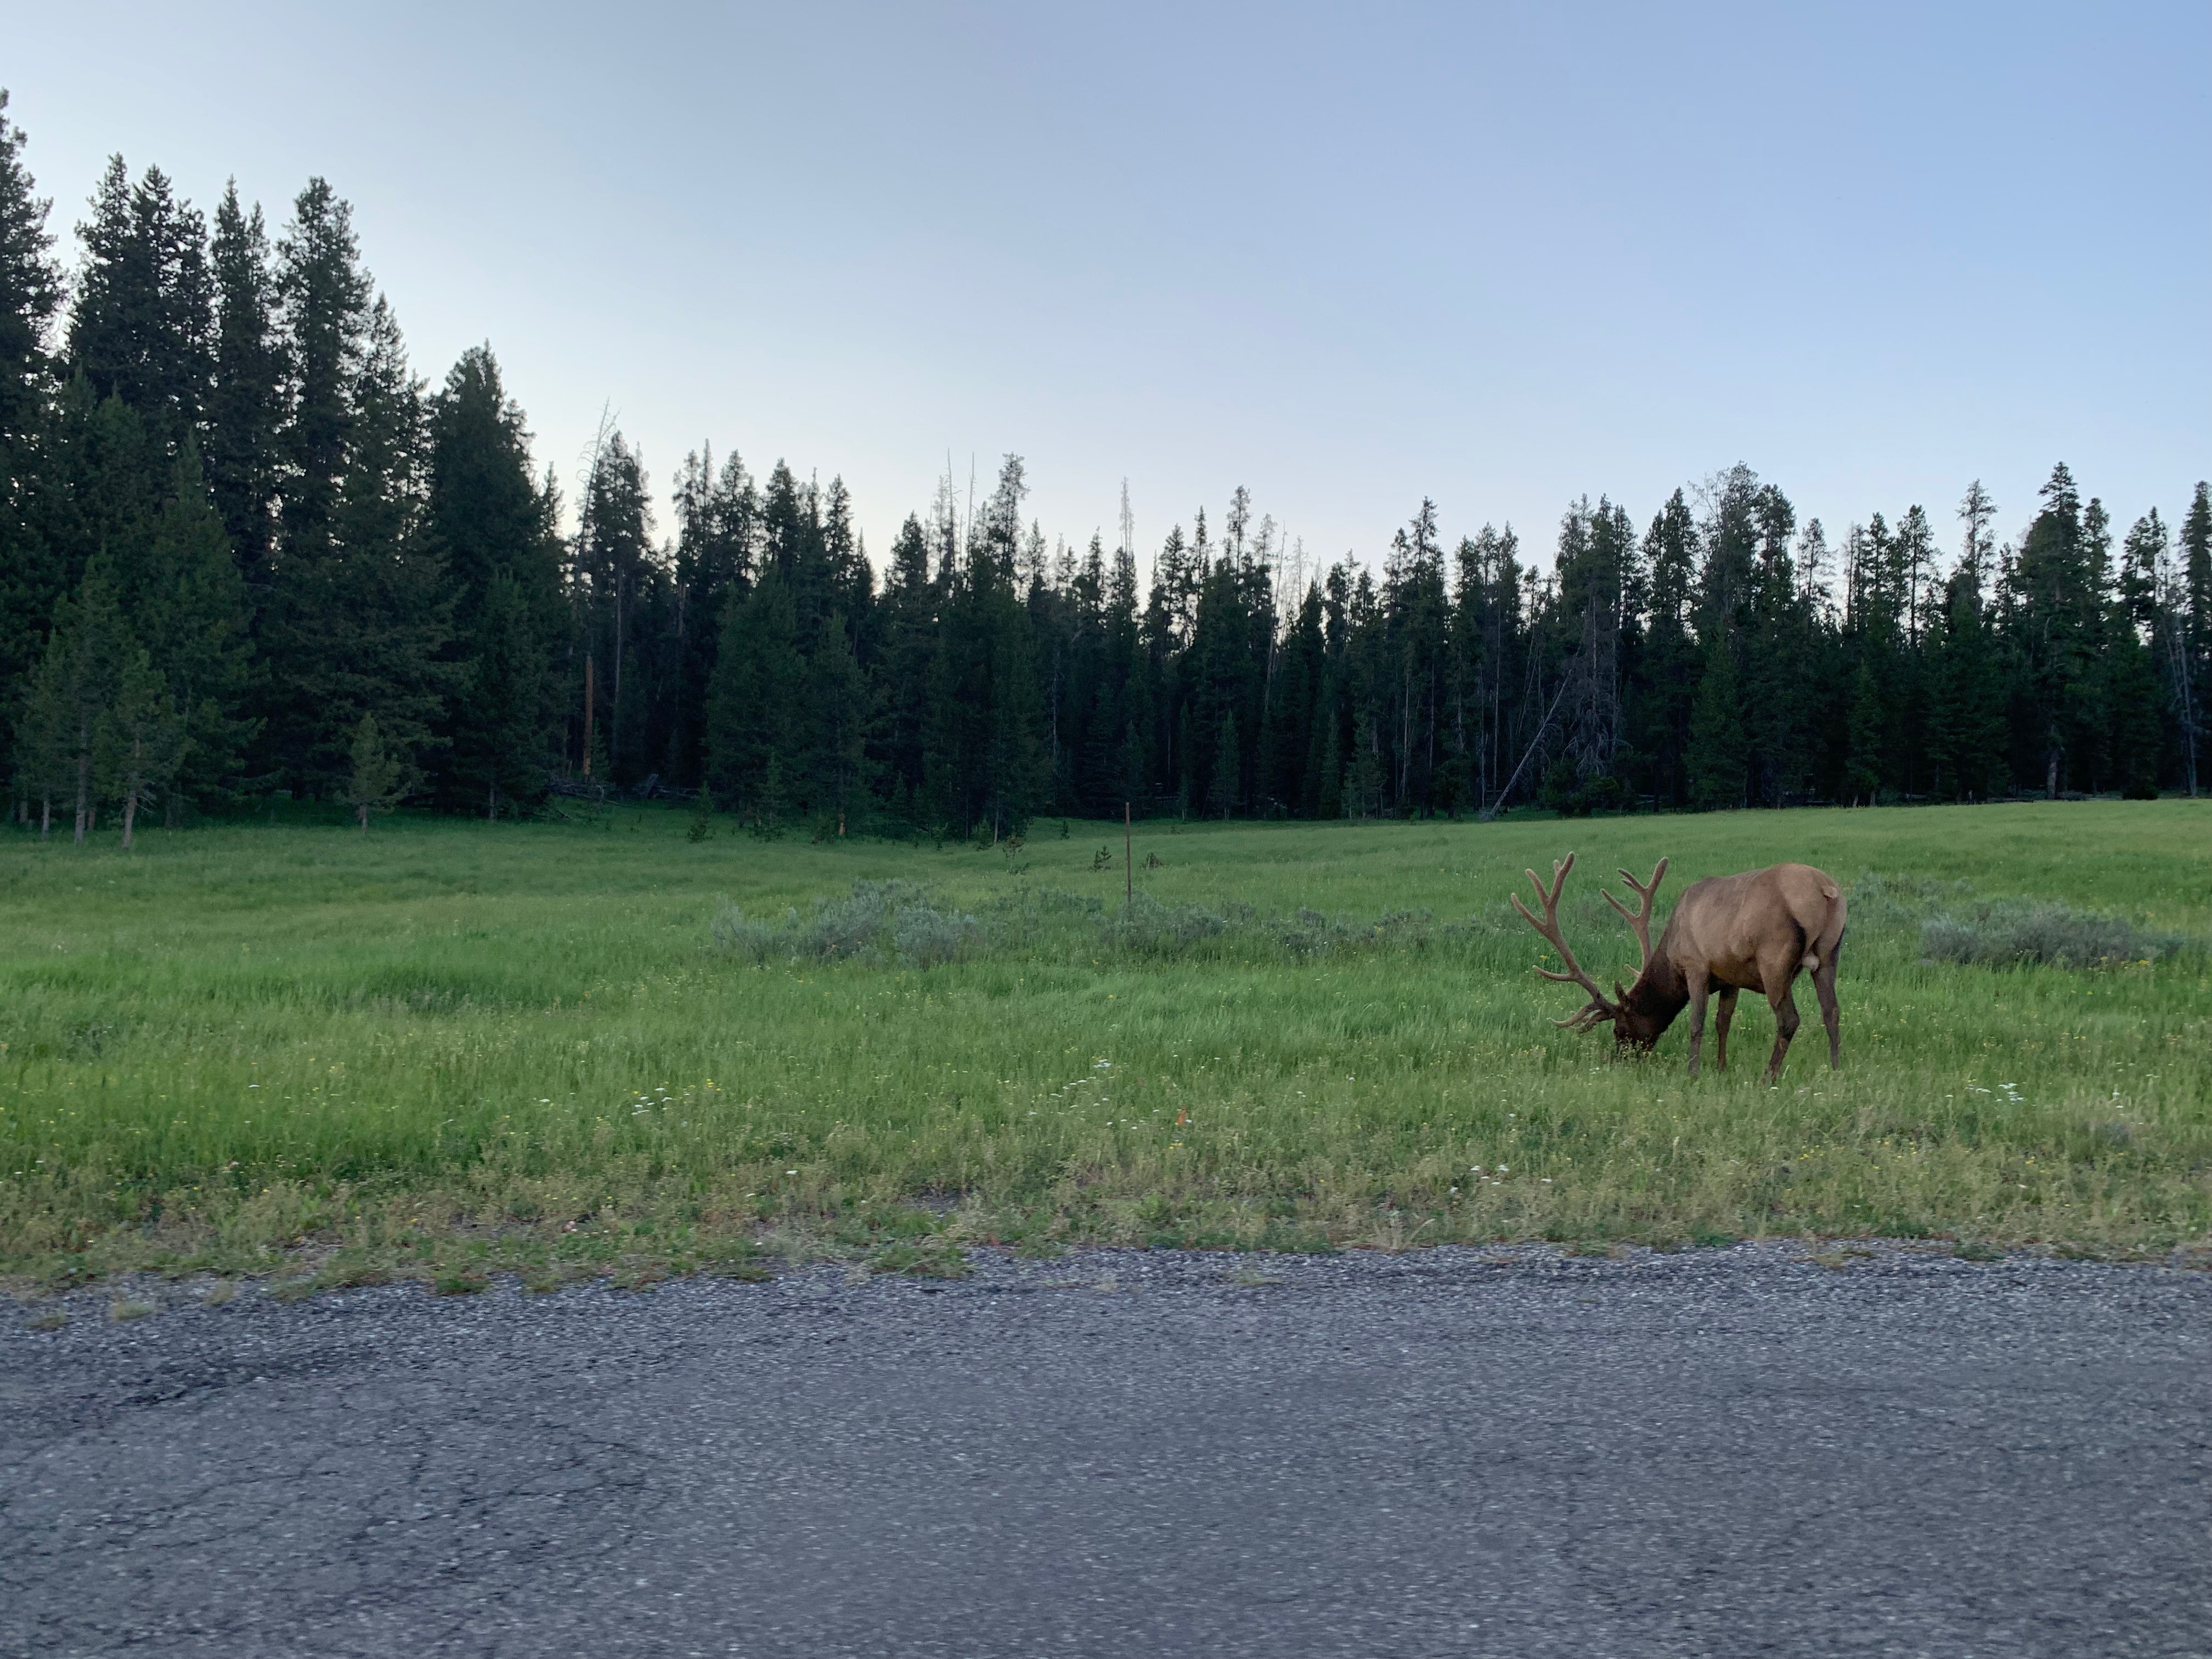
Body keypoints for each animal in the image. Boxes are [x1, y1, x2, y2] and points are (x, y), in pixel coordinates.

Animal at [1504, 849, 1849, 1084]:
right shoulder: (1730, 976)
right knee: (1832, 1010)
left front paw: (1692, 1072)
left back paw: (1768, 1077)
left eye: (1620, 1029)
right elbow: (1723, 1022)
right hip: (1830, 954)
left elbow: (1697, 1023)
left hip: (1774, 959)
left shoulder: (1696, 966)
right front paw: (1721, 1069)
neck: (1670, 956)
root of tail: (1826, 890)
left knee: (1789, 1020)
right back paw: (1836, 1069)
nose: (1621, 1061)